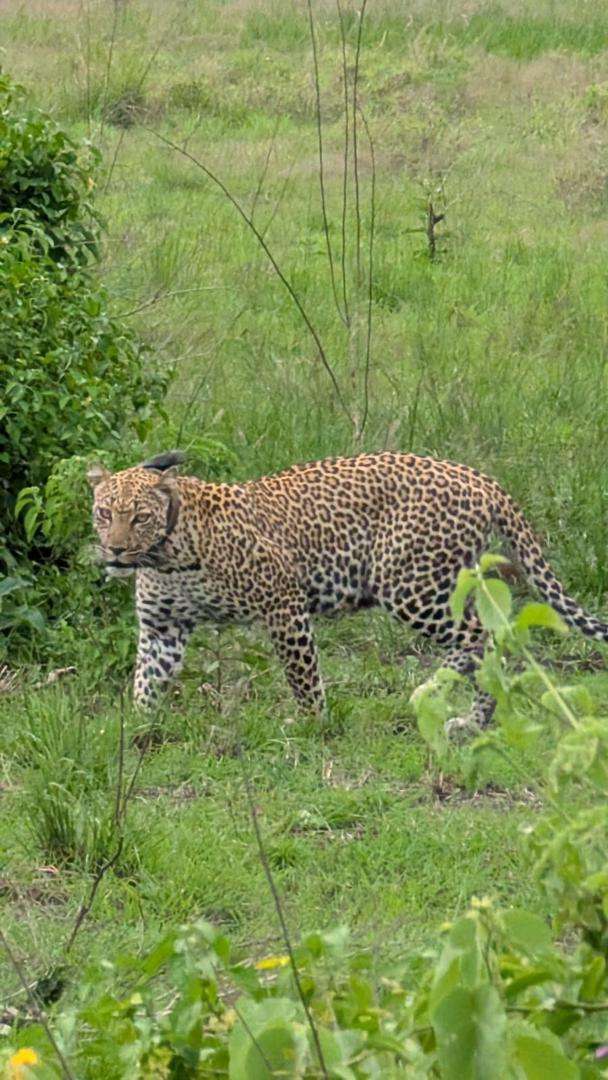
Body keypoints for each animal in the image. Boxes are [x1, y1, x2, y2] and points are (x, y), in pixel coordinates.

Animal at [88, 450, 608, 727]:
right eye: (103, 513)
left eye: (139, 517)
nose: (114, 550)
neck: (168, 557)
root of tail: (477, 476)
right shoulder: (163, 629)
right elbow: (146, 682)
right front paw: (137, 728)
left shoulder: (284, 604)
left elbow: (303, 675)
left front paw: (313, 723)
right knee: (486, 636)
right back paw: (469, 718)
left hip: (410, 583)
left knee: (480, 636)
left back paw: (439, 694)